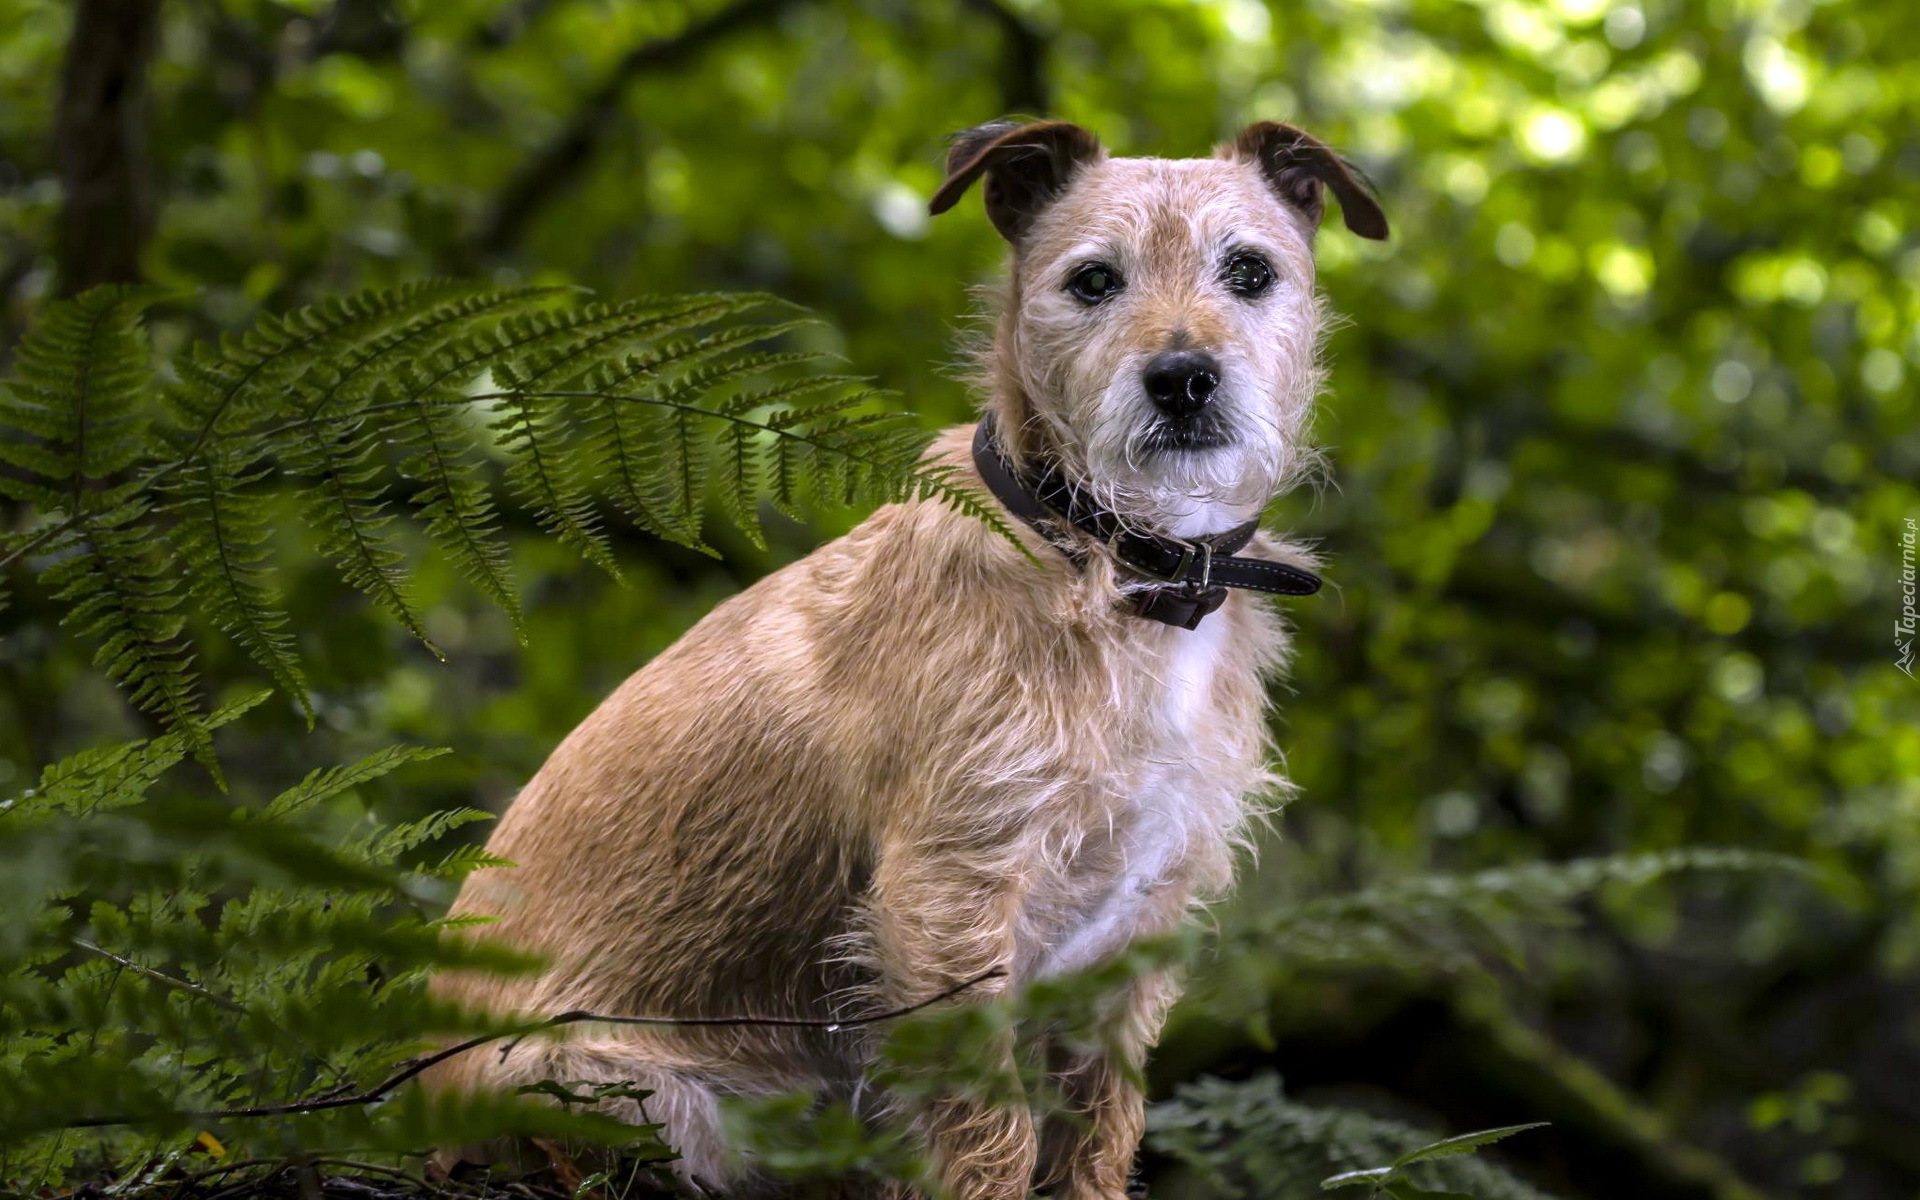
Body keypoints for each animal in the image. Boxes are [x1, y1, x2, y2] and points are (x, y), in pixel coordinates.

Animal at [428, 114, 1390, 1198]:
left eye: (1249, 271)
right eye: (1094, 281)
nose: (1183, 377)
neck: (1119, 567)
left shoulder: (1138, 929)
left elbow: (1098, 1127)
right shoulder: (946, 901)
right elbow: (992, 1129)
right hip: (641, 1101)